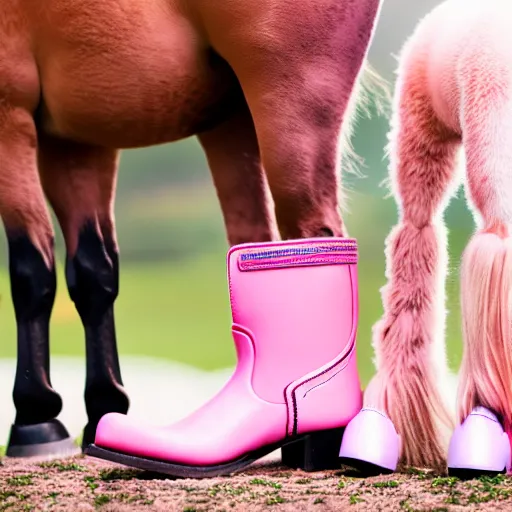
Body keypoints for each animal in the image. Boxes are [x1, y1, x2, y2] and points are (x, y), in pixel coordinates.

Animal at [0, 0, 382, 456]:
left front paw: (35, 414)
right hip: (233, 123)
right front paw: (104, 407)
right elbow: (94, 274)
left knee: (315, 232)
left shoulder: (10, 107)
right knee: (259, 239)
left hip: (290, 108)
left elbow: (31, 271)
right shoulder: (78, 136)